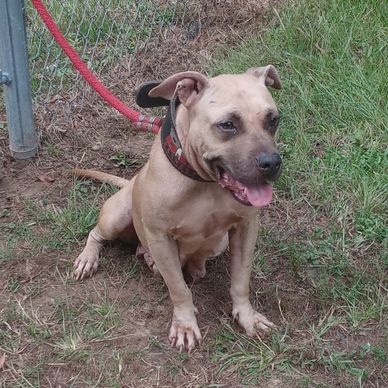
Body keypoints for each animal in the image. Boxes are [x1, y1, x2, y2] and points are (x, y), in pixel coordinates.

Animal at [74, 66, 284, 352]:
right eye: (227, 125)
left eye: (273, 120)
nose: (271, 163)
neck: (206, 184)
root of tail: (131, 182)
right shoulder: (160, 238)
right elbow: (179, 289)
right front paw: (185, 325)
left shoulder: (246, 228)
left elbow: (241, 280)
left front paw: (247, 317)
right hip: (116, 217)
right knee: (95, 234)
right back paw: (88, 259)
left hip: (219, 243)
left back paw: (195, 266)